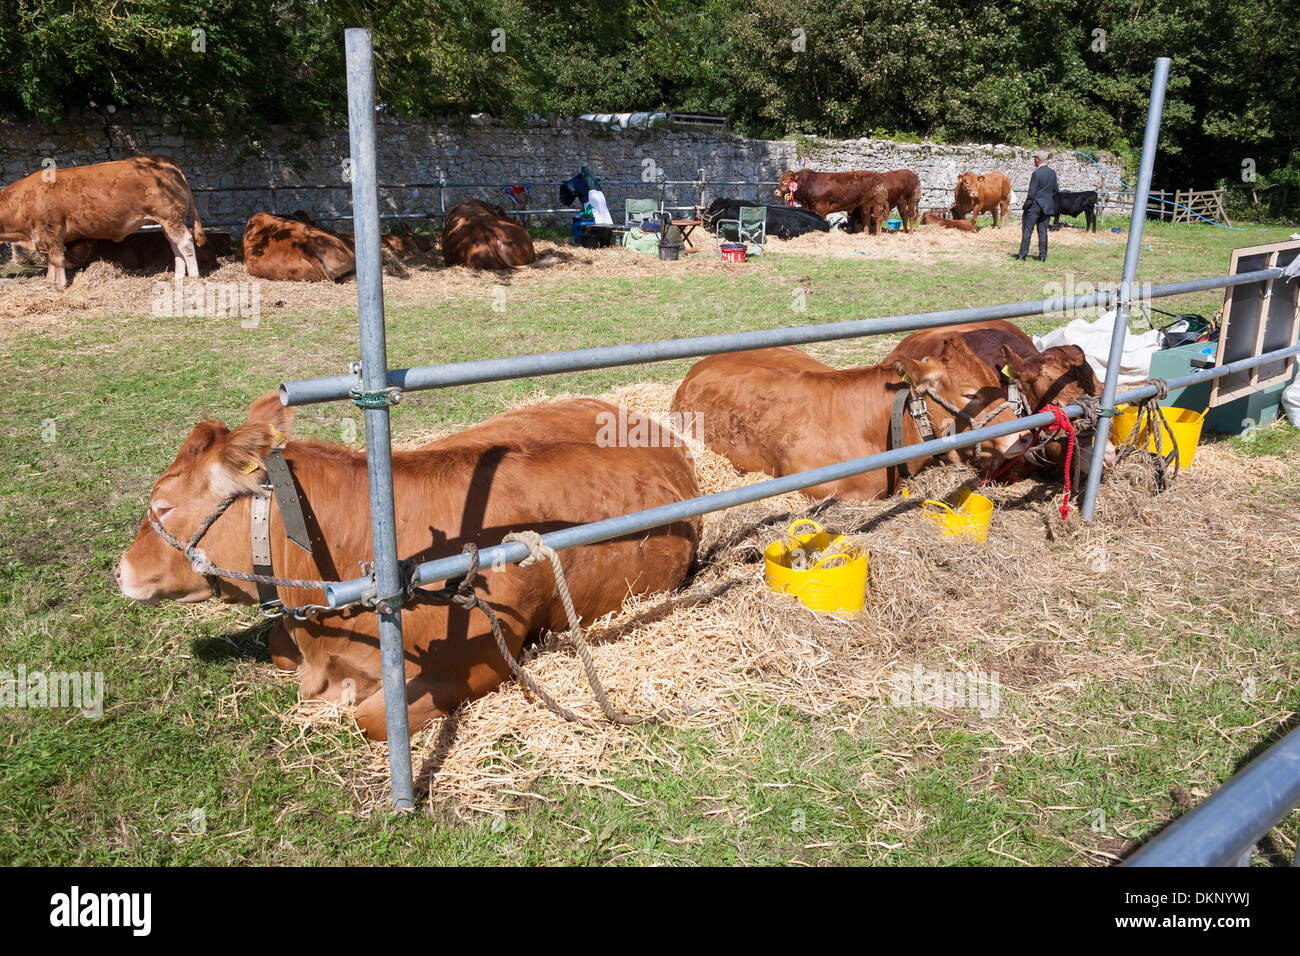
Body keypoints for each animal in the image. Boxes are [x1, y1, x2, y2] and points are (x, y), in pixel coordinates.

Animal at [0, 155, 207, 287]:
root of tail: (164, 160)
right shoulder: (44, 236)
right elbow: (50, 260)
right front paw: (49, 281)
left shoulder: (52, 230)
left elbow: (57, 258)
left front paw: (61, 283)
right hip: (168, 221)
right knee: (174, 245)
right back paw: (179, 276)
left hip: (170, 217)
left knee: (185, 242)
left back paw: (193, 276)